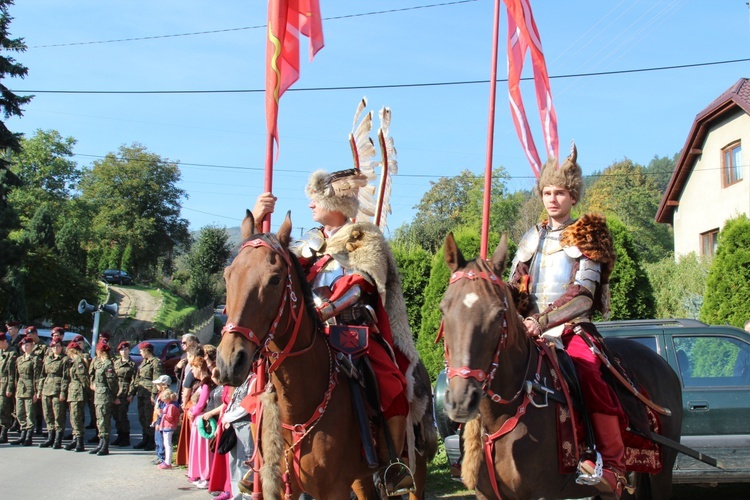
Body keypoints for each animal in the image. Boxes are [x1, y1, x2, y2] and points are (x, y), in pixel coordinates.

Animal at [214, 212, 438, 500]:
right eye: (228, 276)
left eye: (275, 279)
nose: (229, 362)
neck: (297, 410)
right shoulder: (286, 487)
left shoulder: (333, 489)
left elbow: (355, 283)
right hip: (360, 476)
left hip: (416, 462)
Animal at [440, 234, 688, 500]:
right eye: (444, 310)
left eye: (498, 313)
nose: (461, 400)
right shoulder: (486, 494)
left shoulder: (540, 493)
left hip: (661, 473)